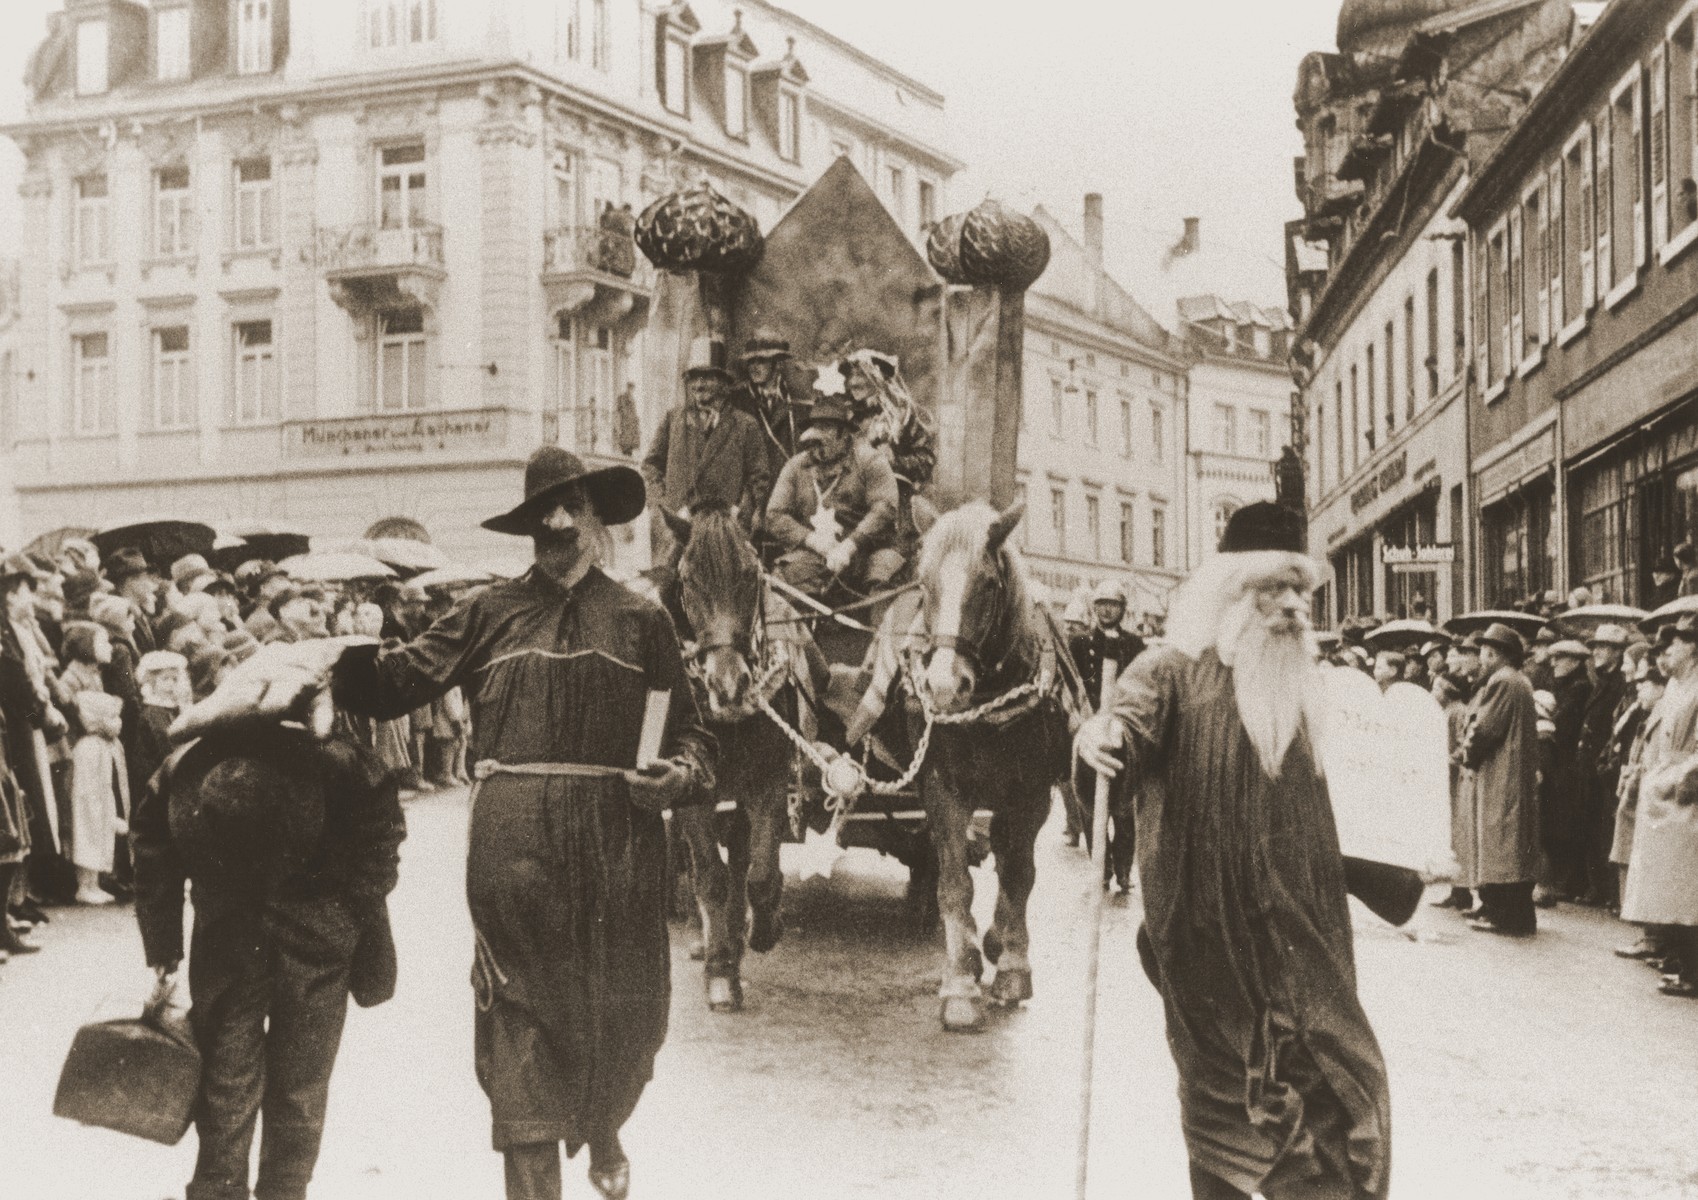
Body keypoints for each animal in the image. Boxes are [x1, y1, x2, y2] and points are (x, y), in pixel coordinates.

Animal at [662, 505, 821, 1011]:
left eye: (751, 573)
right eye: (688, 580)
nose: (729, 686)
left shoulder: (766, 784)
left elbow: (759, 873)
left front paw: (765, 927)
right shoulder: (694, 793)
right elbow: (711, 878)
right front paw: (719, 974)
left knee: (740, 859)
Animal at [910, 499, 1066, 1031]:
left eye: (989, 585)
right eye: (922, 583)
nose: (942, 687)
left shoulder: (1032, 793)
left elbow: (1019, 873)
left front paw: (1013, 967)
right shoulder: (943, 788)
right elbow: (955, 884)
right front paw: (960, 983)